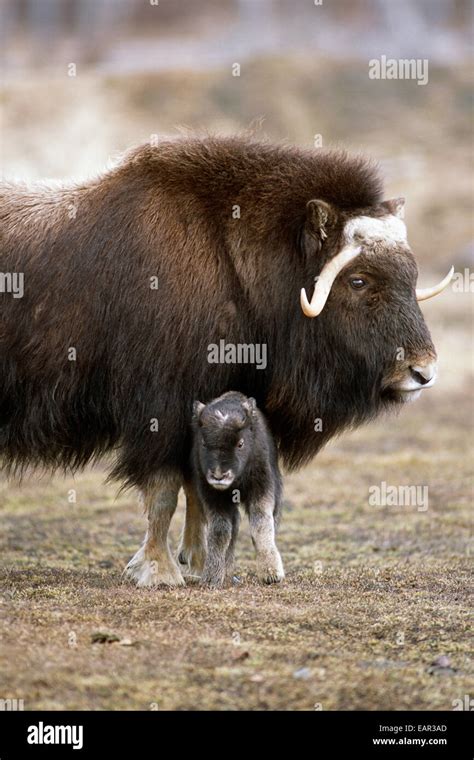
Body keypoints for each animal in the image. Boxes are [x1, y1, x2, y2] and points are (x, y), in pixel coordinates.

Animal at [191, 392, 284, 588]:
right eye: (203, 443)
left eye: (240, 443)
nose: (219, 475)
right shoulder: (212, 497)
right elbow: (220, 531)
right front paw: (211, 578)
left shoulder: (261, 489)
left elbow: (261, 523)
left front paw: (271, 574)